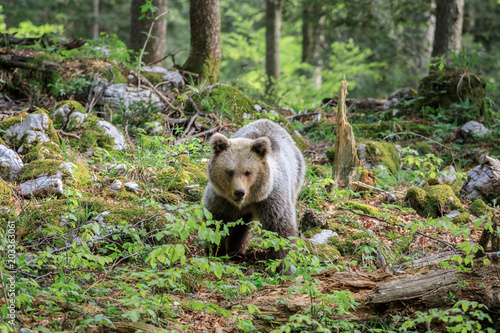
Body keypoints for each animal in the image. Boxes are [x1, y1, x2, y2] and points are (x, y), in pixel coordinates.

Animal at [202, 118, 304, 272]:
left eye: (248, 172)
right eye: (230, 171)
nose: (239, 192)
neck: (249, 200)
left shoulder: (271, 198)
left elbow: (281, 229)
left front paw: (283, 266)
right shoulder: (221, 198)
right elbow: (215, 222)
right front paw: (216, 251)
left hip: (296, 177)